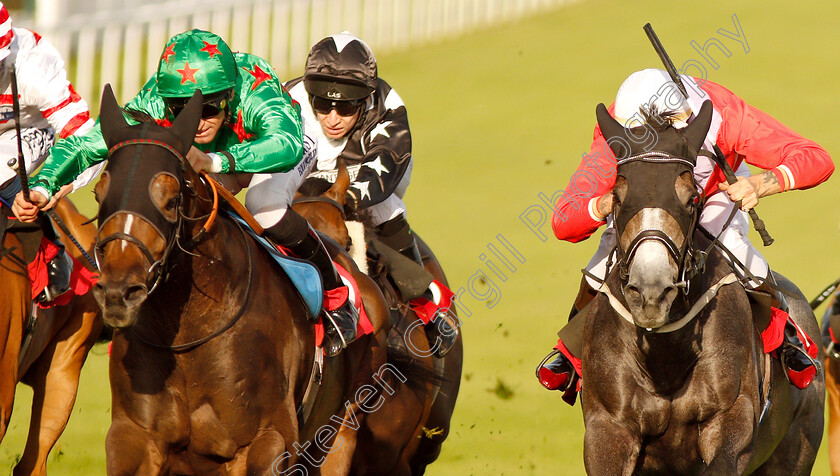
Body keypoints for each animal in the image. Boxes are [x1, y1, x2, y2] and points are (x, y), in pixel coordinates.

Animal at [92, 86, 390, 476]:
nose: (118, 292)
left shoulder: (266, 441)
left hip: (341, 430)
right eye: (99, 195)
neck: (190, 334)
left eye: (171, 199)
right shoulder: (133, 437)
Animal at [580, 98, 824, 474]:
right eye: (617, 197)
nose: (651, 292)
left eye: (691, 198)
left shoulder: (731, 422)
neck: (664, 354)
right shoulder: (605, 430)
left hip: (796, 446)